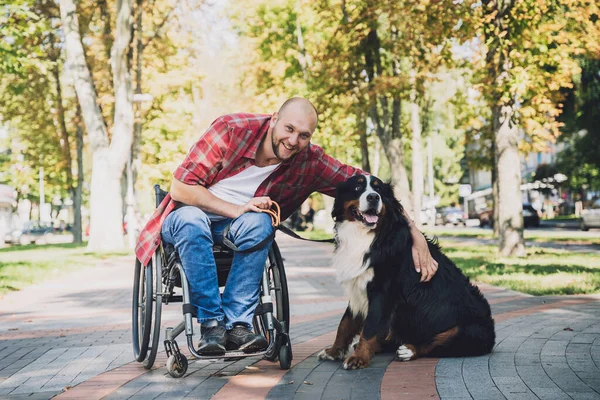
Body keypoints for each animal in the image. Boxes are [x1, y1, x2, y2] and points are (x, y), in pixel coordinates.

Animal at [318, 176, 496, 372]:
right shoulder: (357, 288)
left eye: (378, 190)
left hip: (468, 330)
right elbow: (345, 324)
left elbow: (369, 328)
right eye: (357, 187)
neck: (365, 236)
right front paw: (334, 351)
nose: (373, 197)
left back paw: (408, 350)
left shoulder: (381, 292)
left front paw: (358, 358)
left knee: (432, 344)